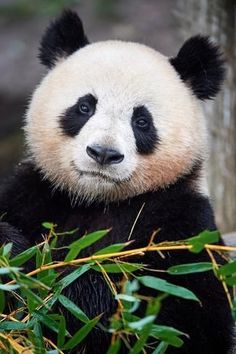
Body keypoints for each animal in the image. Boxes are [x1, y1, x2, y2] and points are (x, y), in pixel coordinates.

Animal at [0, 9, 233, 352]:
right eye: (84, 106)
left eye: (142, 121)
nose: (103, 153)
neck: (97, 200)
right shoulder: (34, 191)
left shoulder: (183, 225)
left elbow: (173, 321)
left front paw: (32, 269)